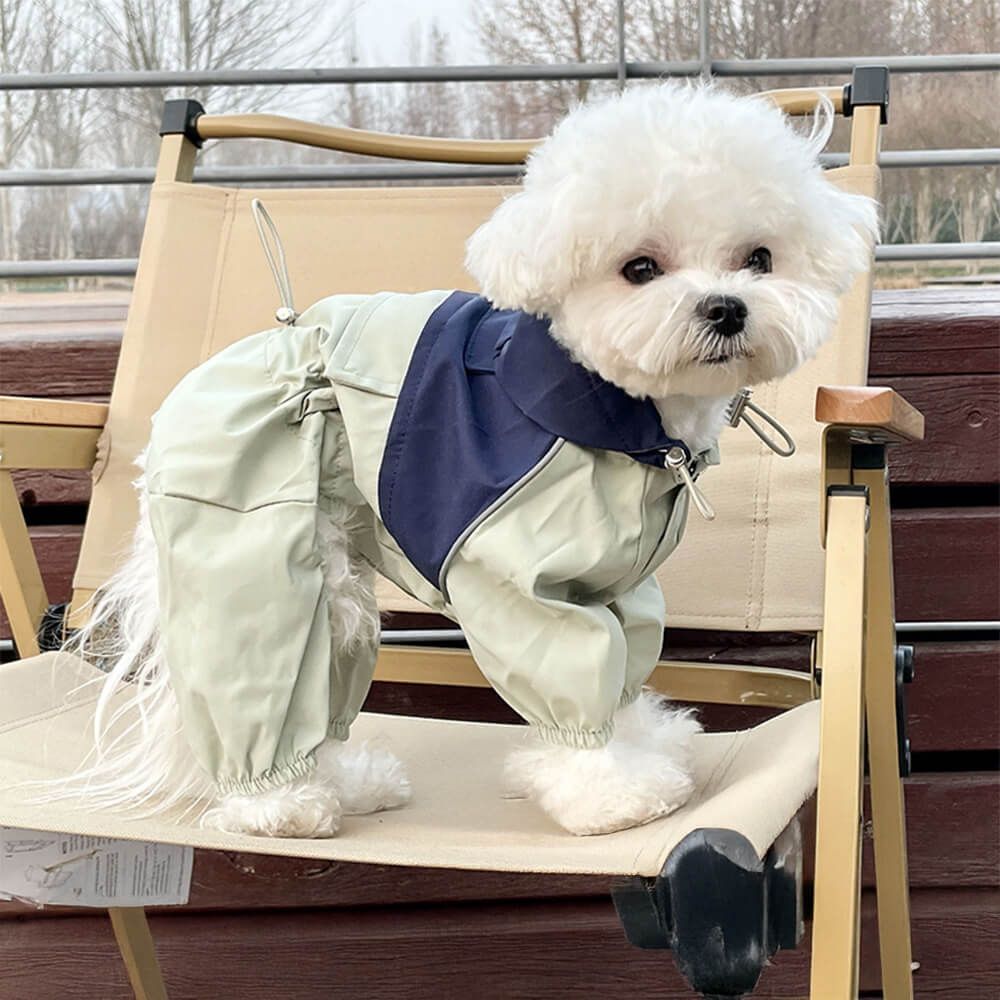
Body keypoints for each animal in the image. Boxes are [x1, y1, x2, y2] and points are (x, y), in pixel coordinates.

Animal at [62, 82, 876, 840]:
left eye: (759, 259)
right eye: (641, 267)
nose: (727, 307)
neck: (618, 418)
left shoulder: (623, 581)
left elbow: (625, 665)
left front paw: (646, 742)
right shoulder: (518, 580)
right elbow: (568, 675)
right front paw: (610, 791)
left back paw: (350, 782)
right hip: (253, 536)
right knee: (259, 661)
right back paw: (279, 805)